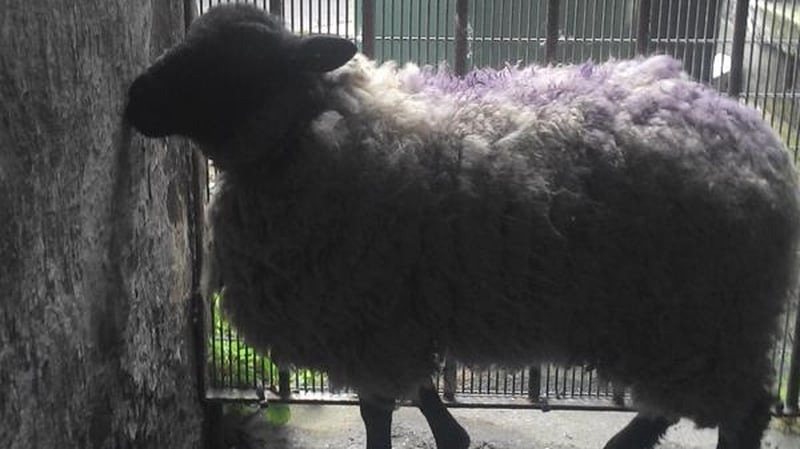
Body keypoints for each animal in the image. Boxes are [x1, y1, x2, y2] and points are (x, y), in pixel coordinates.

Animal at [124, 4, 800, 449]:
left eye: (234, 63)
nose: (132, 100)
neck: (315, 132)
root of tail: (761, 144)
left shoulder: (366, 322)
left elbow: (377, 414)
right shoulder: (393, 320)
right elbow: (422, 397)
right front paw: (451, 432)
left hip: (702, 318)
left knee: (743, 413)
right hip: (677, 325)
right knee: (676, 407)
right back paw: (623, 444)